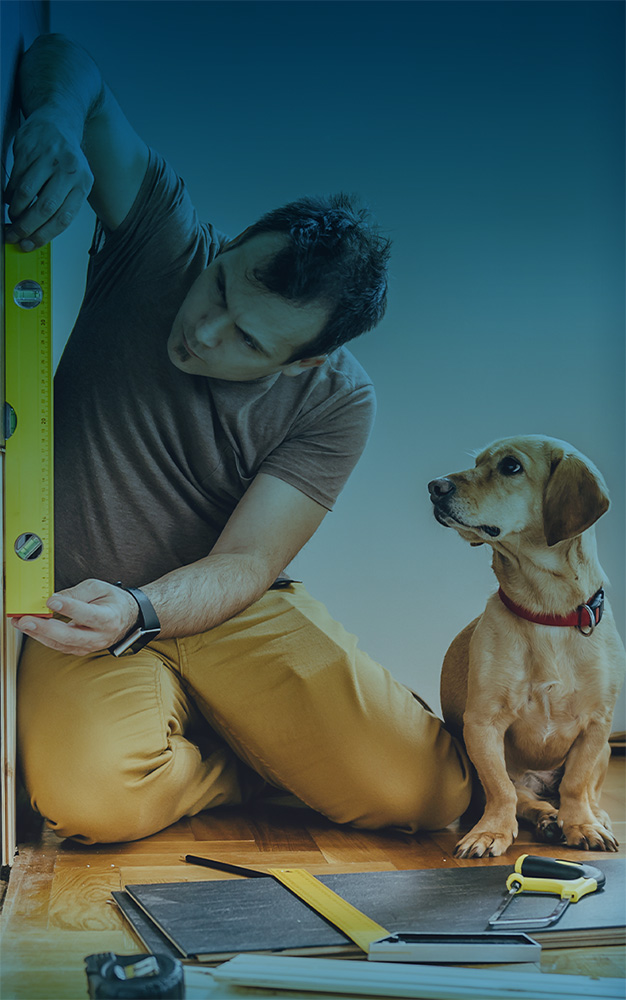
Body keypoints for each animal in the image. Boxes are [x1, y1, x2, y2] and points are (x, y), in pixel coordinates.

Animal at [428, 438, 624, 860]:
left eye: (511, 466)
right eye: (477, 462)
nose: (435, 487)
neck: (546, 612)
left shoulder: (597, 725)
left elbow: (576, 784)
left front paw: (581, 824)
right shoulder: (483, 725)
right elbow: (502, 790)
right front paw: (491, 832)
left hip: (606, 750)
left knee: (583, 791)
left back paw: (590, 817)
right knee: (525, 798)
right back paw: (547, 818)